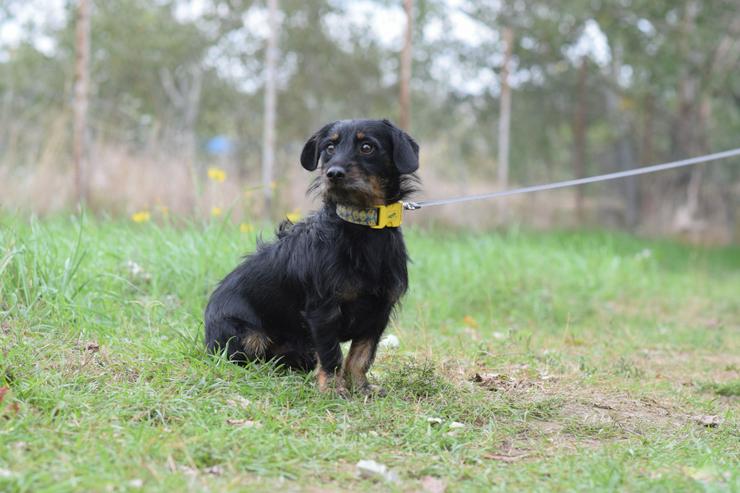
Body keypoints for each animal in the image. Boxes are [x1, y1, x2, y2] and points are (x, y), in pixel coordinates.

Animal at [205, 119, 420, 396]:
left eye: (367, 147)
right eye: (329, 147)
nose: (333, 174)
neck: (360, 226)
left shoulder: (379, 312)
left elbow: (361, 355)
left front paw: (361, 388)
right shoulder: (323, 311)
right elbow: (332, 355)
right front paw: (333, 390)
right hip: (246, 335)